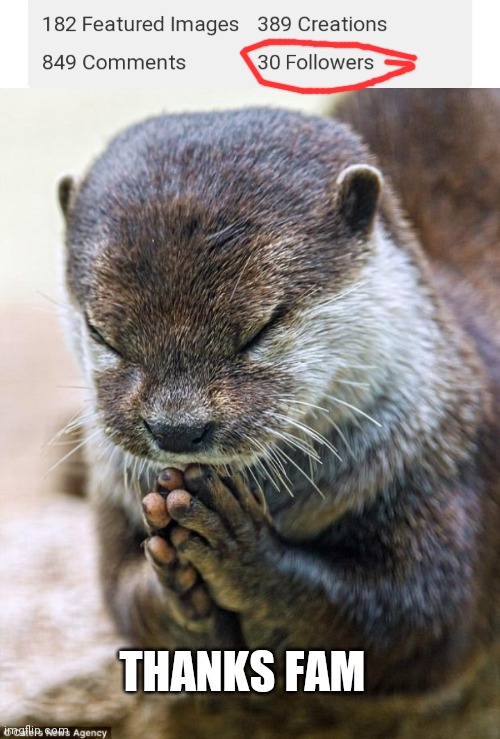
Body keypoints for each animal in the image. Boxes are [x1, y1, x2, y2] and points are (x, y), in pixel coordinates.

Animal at [58, 91, 499, 731]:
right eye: (102, 333)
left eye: (260, 328)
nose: (177, 428)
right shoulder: (113, 497)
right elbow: (122, 595)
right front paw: (175, 588)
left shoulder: (450, 463)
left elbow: (418, 622)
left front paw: (242, 553)